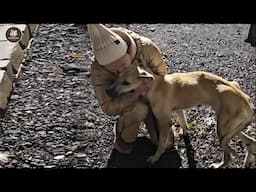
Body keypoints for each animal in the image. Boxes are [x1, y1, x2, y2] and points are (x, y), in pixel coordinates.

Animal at [108, 65, 256, 167]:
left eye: (126, 82)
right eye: (117, 76)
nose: (108, 91)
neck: (156, 84)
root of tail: (247, 101)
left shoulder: (164, 122)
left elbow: (161, 144)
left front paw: (156, 157)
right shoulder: (179, 110)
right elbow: (184, 124)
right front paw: (184, 135)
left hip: (222, 129)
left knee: (229, 157)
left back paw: (219, 165)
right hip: (229, 129)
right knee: (251, 142)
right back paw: (247, 160)